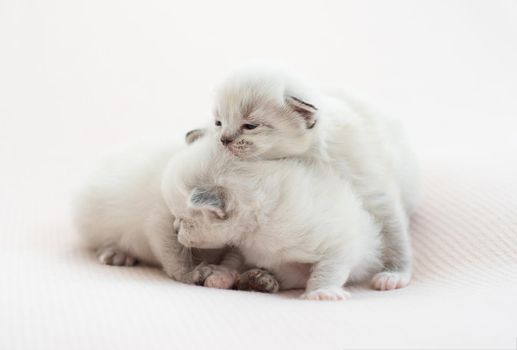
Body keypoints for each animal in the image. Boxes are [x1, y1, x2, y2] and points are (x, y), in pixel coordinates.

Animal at [72, 141, 240, 288]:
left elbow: (233, 259)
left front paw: (223, 276)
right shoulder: (162, 215)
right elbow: (171, 249)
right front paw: (191, 273)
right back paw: (118, 252)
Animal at [162, 131, 382, 300]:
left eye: (184, 220)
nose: (174, 229)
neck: (258, 231)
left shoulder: (340, 239)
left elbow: (329, 267)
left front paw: (322, 292)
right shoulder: (240, 248)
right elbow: (231, 260)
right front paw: (221, 275)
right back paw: (256, 279)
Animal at [205, 67, 420, 292]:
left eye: (250, 125)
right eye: (218, 123)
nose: (223, 140)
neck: (310, 155)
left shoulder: (372, 189)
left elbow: (394, 234)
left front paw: (395, 274)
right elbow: (237, 248)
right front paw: (223, 270)